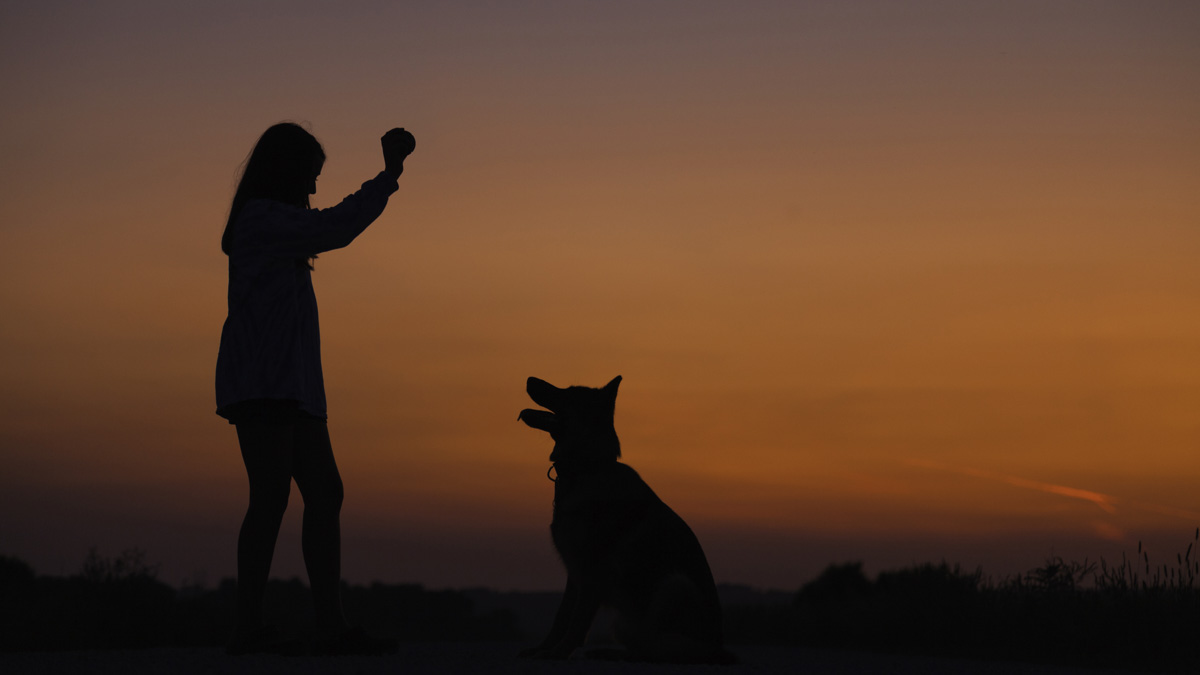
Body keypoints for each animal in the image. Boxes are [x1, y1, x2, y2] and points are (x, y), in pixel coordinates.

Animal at [516, 374, 729, 658]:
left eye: (569, 392)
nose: (529, 378)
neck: (588, 468)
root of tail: (718, 646)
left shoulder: (592, 572)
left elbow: (577, 621)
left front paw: (557, 653)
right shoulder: (575, 571)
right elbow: (561, 616)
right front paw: (544, 649)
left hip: (676, 585)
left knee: (656, 648)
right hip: (626, 622)